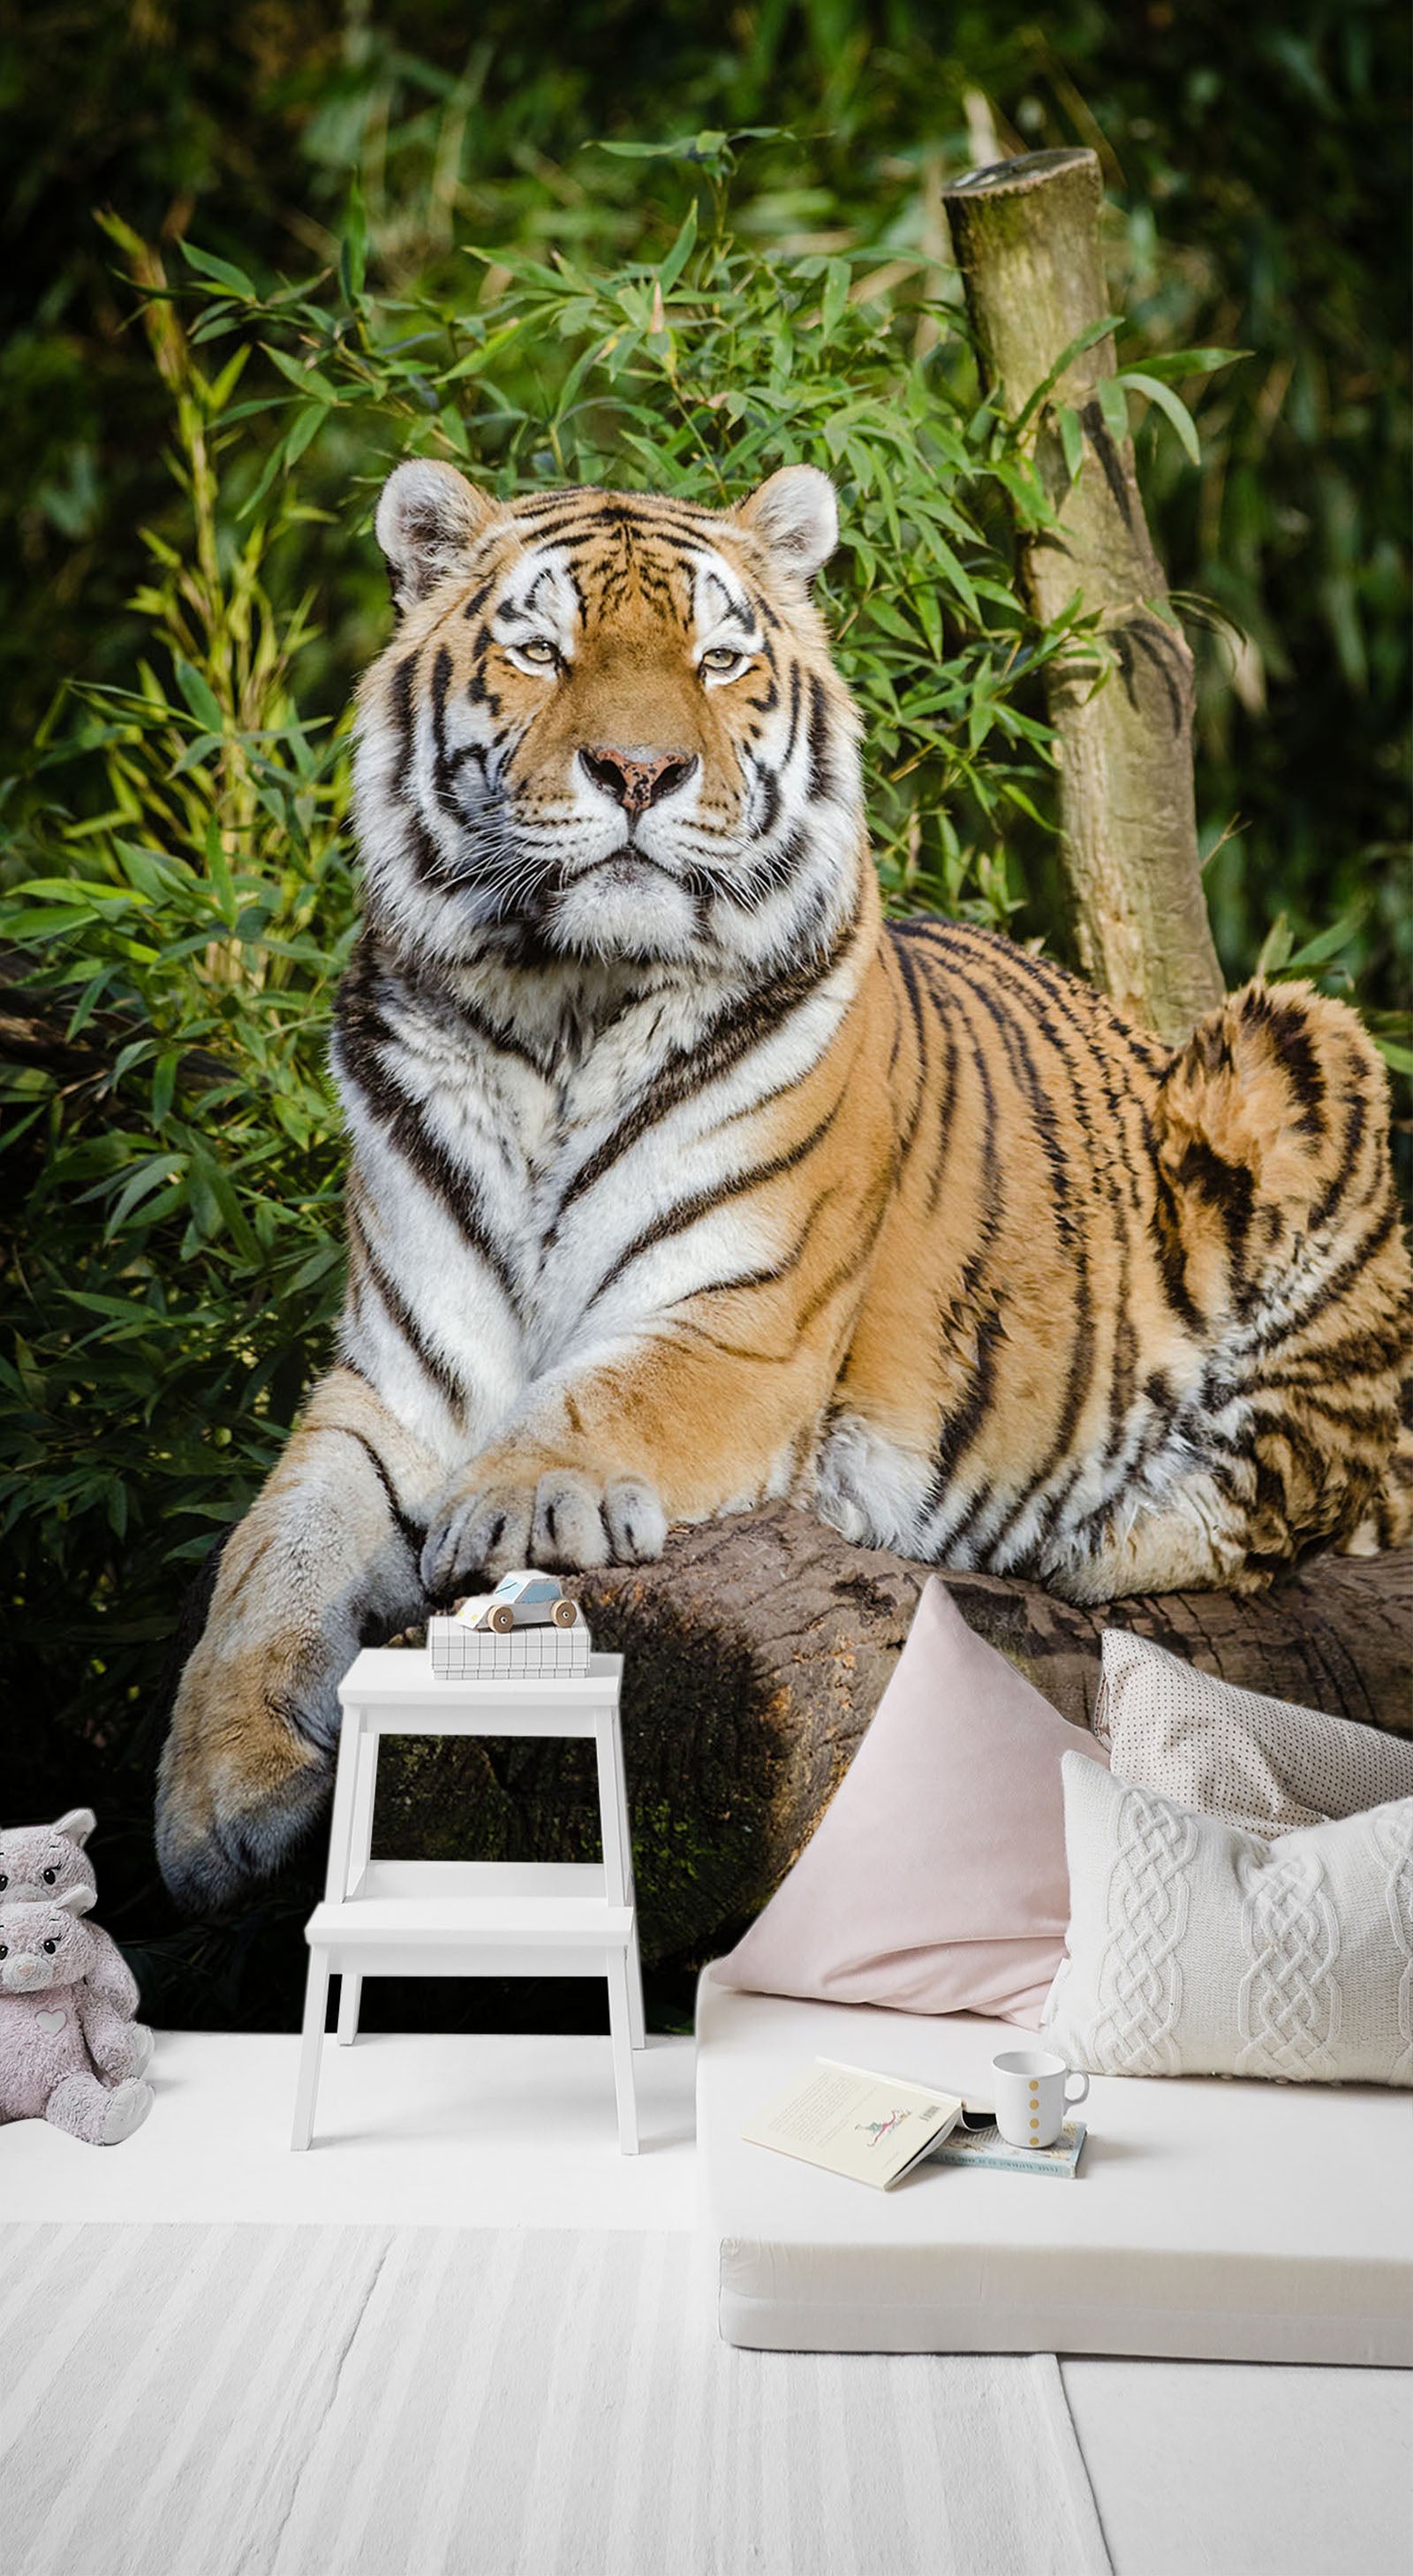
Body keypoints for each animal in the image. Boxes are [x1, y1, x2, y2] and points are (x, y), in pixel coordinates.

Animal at [155, 457, 1413, 1909]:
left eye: (718, 659)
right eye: (541, 652)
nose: (640, 771)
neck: (556, 1014)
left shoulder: (737, 1325)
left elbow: (598, 1398)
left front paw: (516, 1503)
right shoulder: (396, 1382)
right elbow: (266, 1560)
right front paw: (219, 1796)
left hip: (1296, 1051)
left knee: (1291, 1495)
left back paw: (1089, 1534)